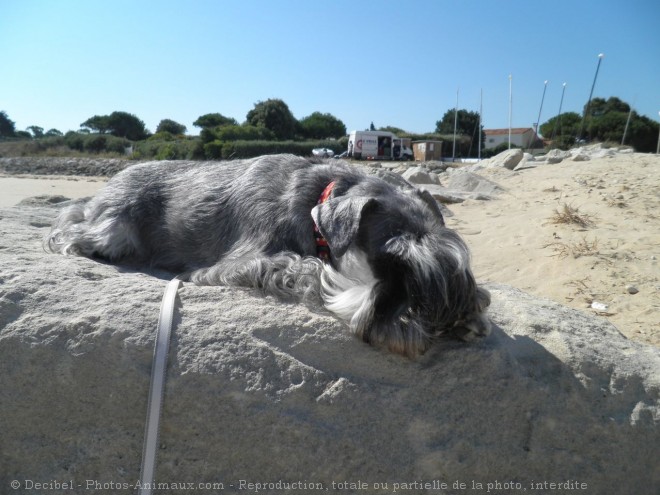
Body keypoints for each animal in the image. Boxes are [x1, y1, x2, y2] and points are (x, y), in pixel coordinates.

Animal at [47, 155, 490, 356]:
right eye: (392, 259)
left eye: (452, 260)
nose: (444, 320)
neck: (318, 200)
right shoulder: (239, 263)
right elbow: (308, 269)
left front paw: (475, 312)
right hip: (113, 225)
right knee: (72, 227)